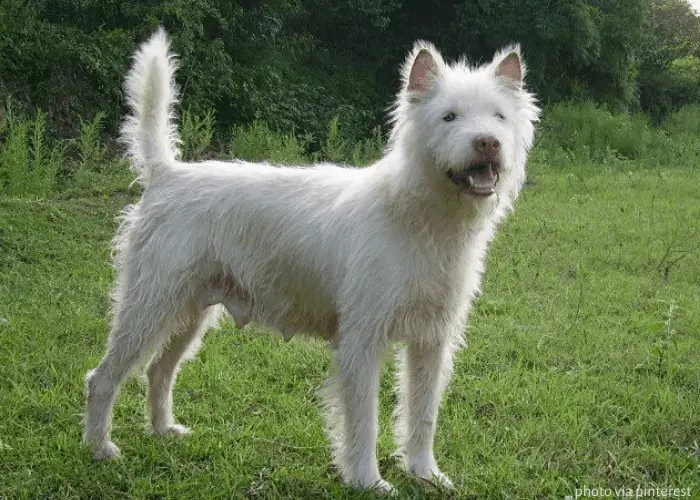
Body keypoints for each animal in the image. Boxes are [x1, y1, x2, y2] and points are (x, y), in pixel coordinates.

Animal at [83, 29, 540, 494]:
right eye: (449, 117)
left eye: (499, 116)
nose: (487, 141)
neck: (422, 216)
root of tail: (167, 173)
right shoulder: (362, 343)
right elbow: (364, 421)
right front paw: (368, 481)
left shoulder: (431, 342)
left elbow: (422, 414)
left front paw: (425, 473)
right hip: (149, 308)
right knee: (103, 379)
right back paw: (100, 448)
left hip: (188, 314)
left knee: (158, 371)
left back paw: (164, 431)